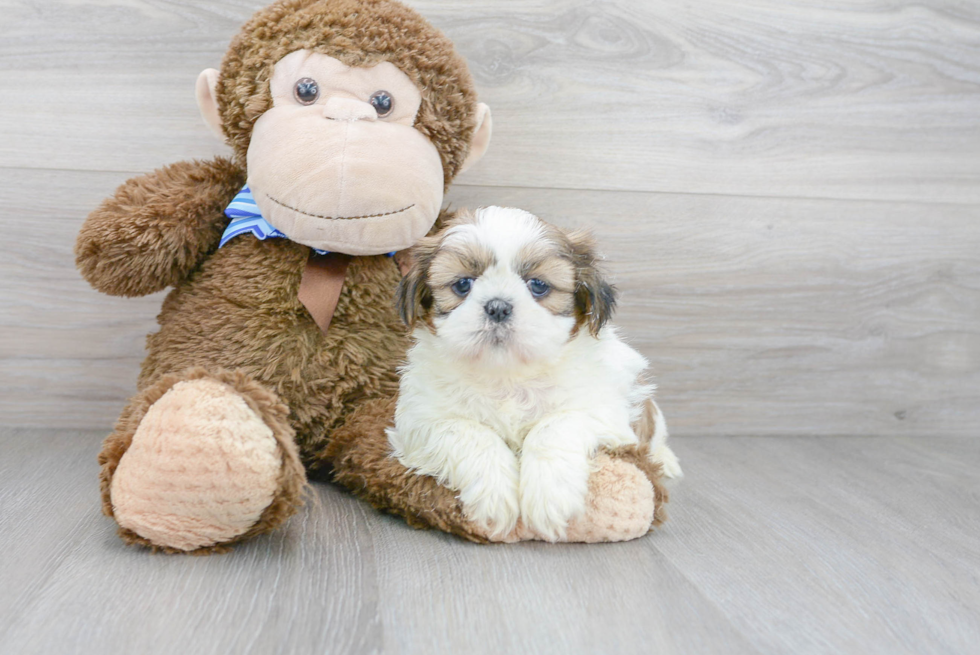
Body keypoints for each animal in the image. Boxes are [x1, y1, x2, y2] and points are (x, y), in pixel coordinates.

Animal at [386, 208, 676, 540]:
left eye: (538, 285)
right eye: (463, 285)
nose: (498, 306)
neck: (508, 375)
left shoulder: (603, 411)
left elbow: (554, 426)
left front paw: (550, 496)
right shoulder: (421, 419)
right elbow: (471, 433)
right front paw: (495, 495)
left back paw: (666, 460)